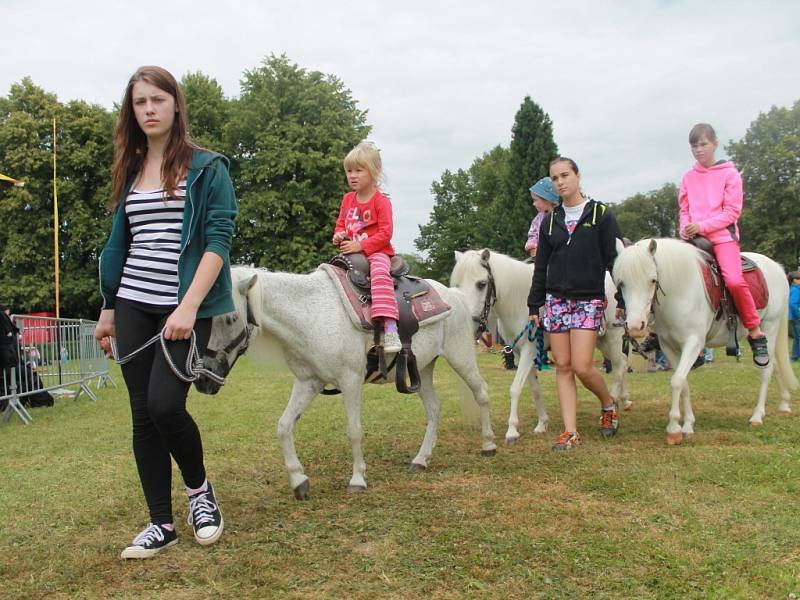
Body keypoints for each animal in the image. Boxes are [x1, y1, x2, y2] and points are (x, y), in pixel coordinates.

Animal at [195, 266, 494, 496]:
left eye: (231, 317)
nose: (203, 381)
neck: (312, 314)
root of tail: (453, 295)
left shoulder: (350, 380)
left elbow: (354, 430)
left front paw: (358, 479)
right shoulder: (308, 382)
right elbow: (284, 426)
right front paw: (298, 480)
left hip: (460, 356)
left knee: (481, 392)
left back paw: (489, 444)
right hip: (423, 368)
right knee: (434, 408)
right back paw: (421, 460)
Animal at [450, 250, 632, 446]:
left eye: (481, 284)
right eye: (457, 285)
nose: (470, 325)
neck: (520, 301)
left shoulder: (528, 351)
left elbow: (515, 388)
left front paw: (512, 431)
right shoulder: (521, 353)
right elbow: (535, 389)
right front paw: (542, 424)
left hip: (613, 337)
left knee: (620, 367)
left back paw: (613, 410)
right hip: (601, 341)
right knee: (619, 364)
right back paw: (624, 400)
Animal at [608, 237, 796, 442]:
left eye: (653, 280)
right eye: (621, 283)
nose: (635, 326)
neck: (680, 289)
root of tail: (777, 267)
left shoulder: (693, 343)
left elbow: (676, 381)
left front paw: (674, 428)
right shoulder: (668, 346)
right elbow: (683, 383)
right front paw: (687, 424)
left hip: (770, 327)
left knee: (766, 370)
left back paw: (757, 416)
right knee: (776, 366)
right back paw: (784, 404)